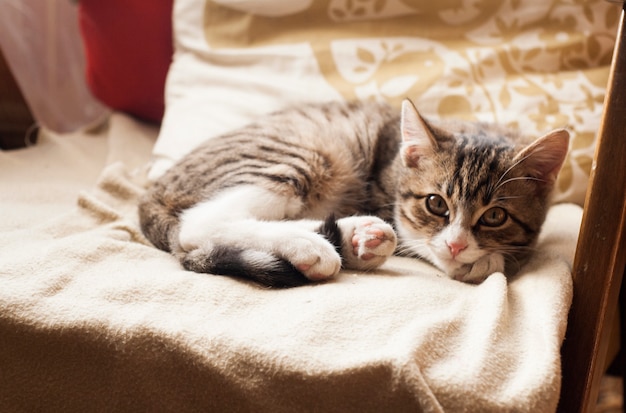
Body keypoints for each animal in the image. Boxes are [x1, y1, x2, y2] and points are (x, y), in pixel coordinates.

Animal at [139, 99, 568, 286]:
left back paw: (359, 236)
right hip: (305, 153)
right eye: (436, 204)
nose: (457, 244)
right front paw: (476, 262)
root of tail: (152, 189)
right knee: (198, 224)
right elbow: (425, 241)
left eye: (494, 216)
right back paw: (310, 245)